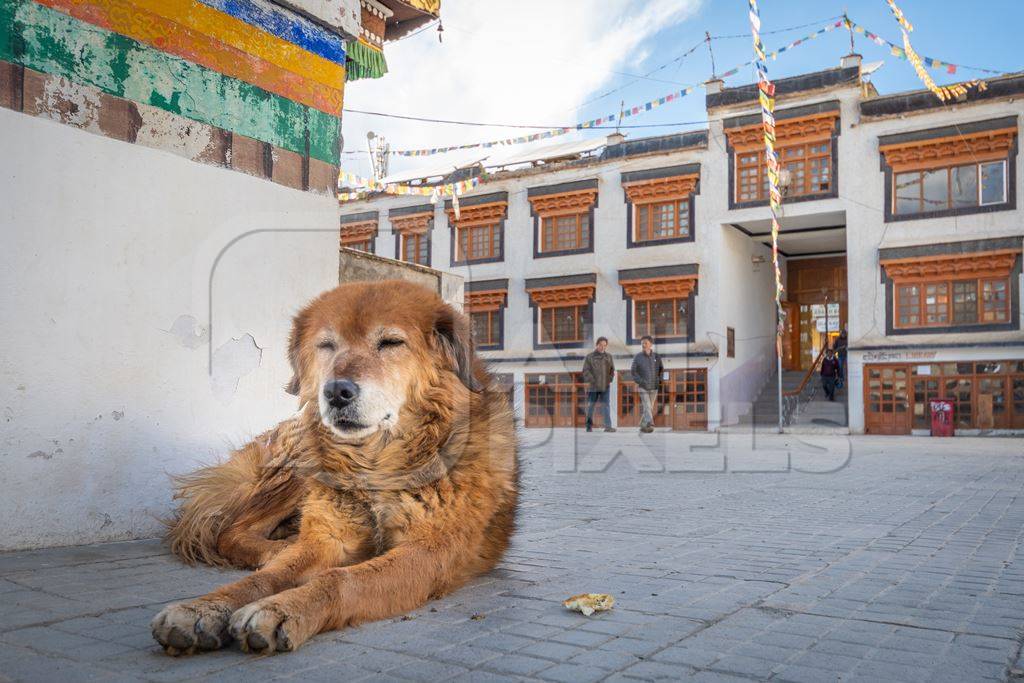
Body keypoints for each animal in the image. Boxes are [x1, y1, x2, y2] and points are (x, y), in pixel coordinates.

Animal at [149, 280, 520, 655]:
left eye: (391, 342)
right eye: (327, 345)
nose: (337, 391)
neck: (375, 464)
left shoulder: (429, 548)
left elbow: (342, 579)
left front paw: (281, 608)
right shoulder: (328, 537)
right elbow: (263, 579)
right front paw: (205, 607)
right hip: (297, 462)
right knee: (231, 530)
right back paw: (277, 547)